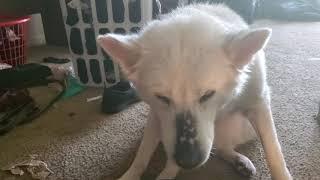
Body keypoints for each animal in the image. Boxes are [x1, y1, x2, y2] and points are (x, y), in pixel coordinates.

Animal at [98, 2, 292, 180]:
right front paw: (132, 174)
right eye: (162, 97)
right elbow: (142, 155)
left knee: (223, 147)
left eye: (208, 95)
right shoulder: (156, 114)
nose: (188, 161)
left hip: (243, 128)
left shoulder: (259, 104)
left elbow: (274, 150)